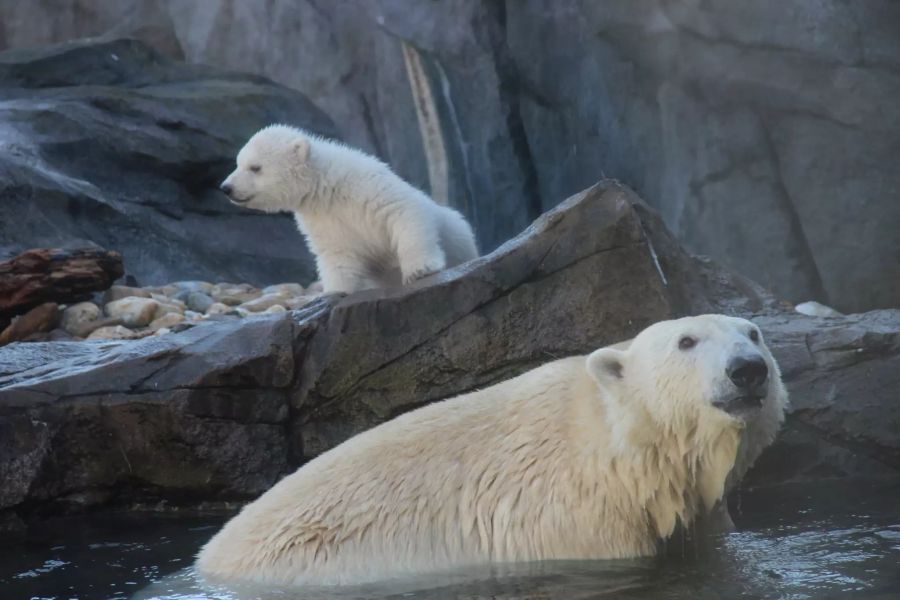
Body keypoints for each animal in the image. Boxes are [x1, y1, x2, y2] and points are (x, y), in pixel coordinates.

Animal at [220, 125, 478, 292]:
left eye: (255, 167)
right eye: (237, 163)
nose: (226, 188)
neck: (325, 186)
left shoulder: (367, 187)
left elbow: (402, 211)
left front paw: (419, 270)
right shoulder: (324, 220)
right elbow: (338, 254)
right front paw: (335, 292)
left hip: (459, 234)